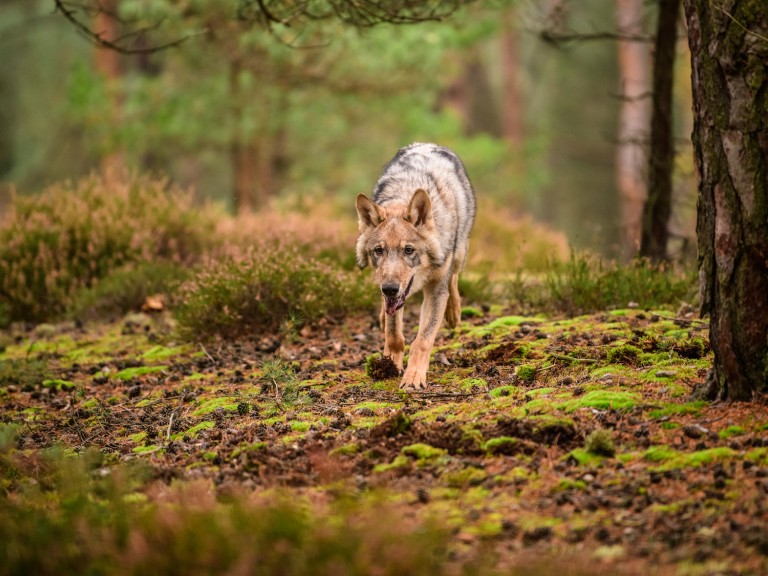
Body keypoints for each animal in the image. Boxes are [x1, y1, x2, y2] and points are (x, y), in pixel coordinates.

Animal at [356, 142, 476, 390]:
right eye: (379, 251)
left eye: (408, 250)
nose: (390, 289)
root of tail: (428, 144)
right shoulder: (390, 294)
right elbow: (394, 335)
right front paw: (390, 365)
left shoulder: (435, 291)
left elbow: (422, 340)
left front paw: (413, 377)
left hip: (459, 253)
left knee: (454, 279)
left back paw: (454, 312)